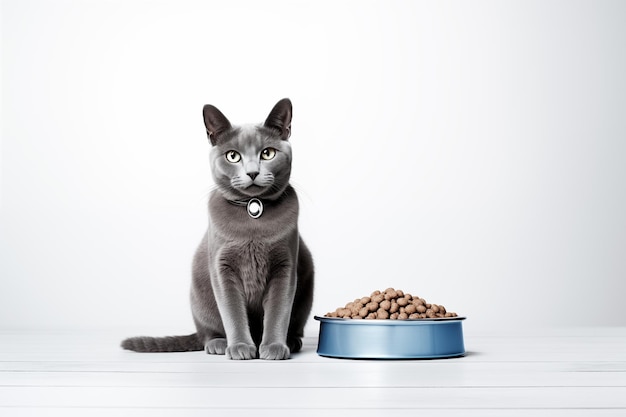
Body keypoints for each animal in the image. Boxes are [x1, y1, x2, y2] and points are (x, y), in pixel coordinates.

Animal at [122, 97, 314, 358]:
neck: (253, 209)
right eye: (232, 156)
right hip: (200, 296)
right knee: (207, 333)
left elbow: (278, 311)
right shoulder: (222, 267)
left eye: (268, 153)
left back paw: (292, 341)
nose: (252, 172)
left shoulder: (285, 266)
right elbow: (232, 311)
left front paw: (274, 347)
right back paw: (219, 344)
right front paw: (240, 347)